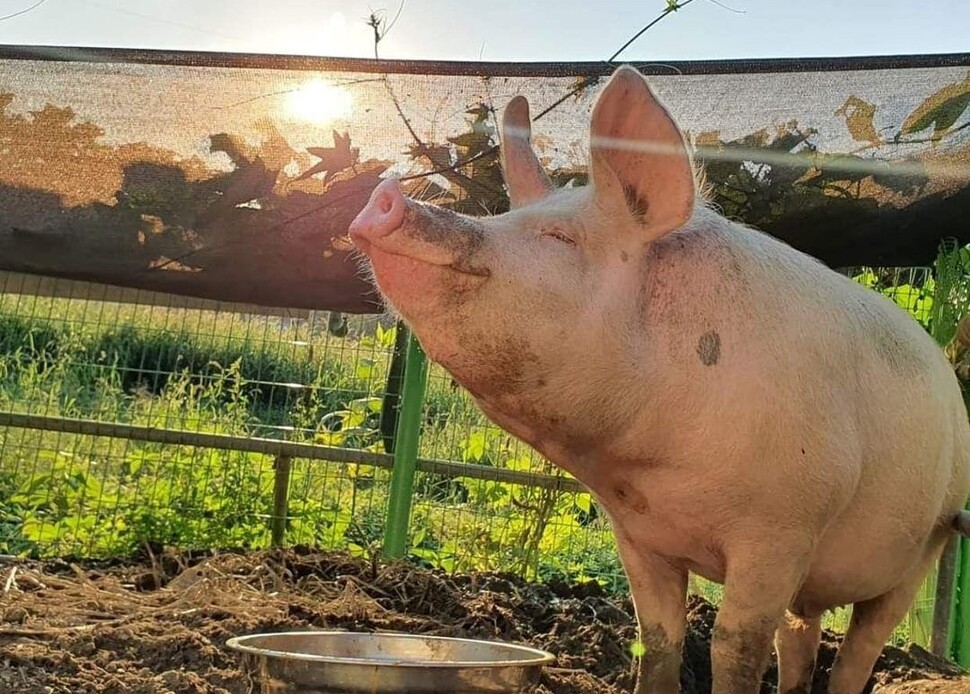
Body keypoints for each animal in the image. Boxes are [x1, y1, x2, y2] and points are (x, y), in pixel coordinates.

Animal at [348, 62, 968, 692]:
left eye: (560, 238)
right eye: (506, 218)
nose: (385, 195)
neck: (647, 469)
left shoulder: (783, 527)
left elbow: (736, 648)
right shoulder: (638, 532)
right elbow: (658, 636)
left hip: (929, 541)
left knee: (860, 649)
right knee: (802, 634)